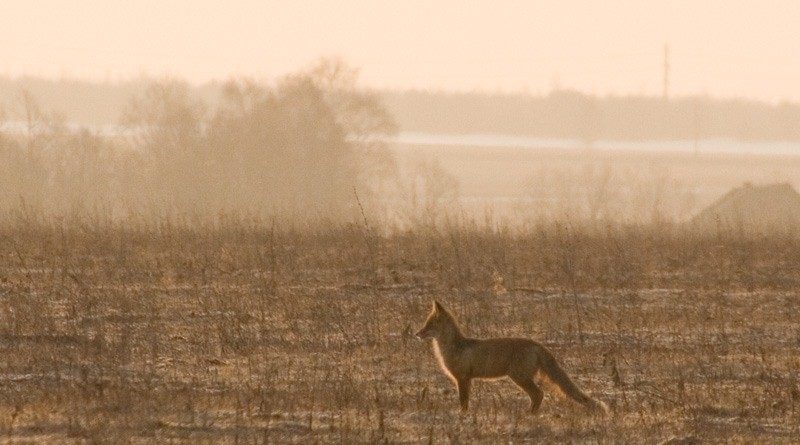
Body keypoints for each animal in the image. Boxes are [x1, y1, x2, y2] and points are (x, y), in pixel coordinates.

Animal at [418, 300, 608, 414]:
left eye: (429, 324)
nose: (417, 334)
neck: (454, 347)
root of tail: (538, 345)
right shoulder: (467, 379)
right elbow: (465, 401)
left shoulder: (463, 378)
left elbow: (463, 401)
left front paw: (462, 416)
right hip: (521, 377)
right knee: (538, 395)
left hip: (519, 377)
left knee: (539, 394)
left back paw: (529, 414)